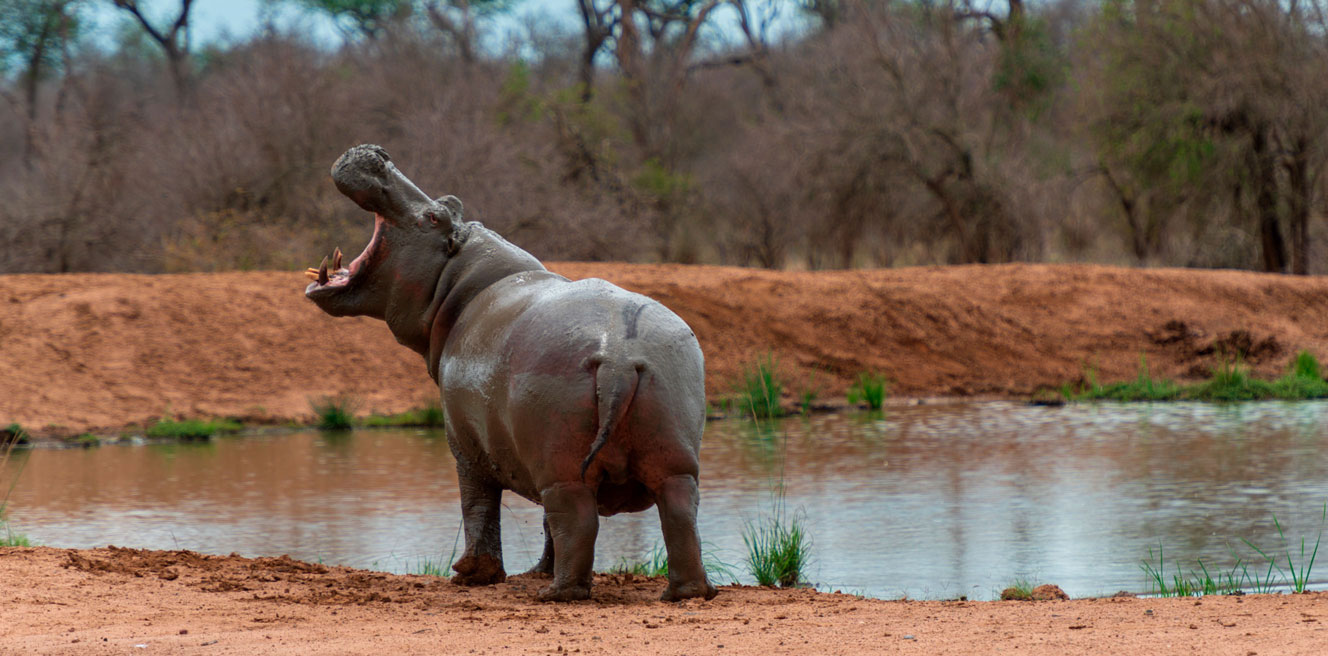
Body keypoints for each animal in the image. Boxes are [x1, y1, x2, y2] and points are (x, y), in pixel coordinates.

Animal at [304, 146, 717, 602]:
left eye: (433, 216)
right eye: (448, 203)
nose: (377, 154)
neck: (457, 280)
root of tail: (620, 356)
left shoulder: (464, 445)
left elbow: (477, 505)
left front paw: (471, 574)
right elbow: (540, 524)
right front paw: (533, 570)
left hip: (562, 467)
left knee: (575, 520)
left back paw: (557, 594)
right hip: (671, 455)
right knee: (676, 515)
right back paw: (684, 592)